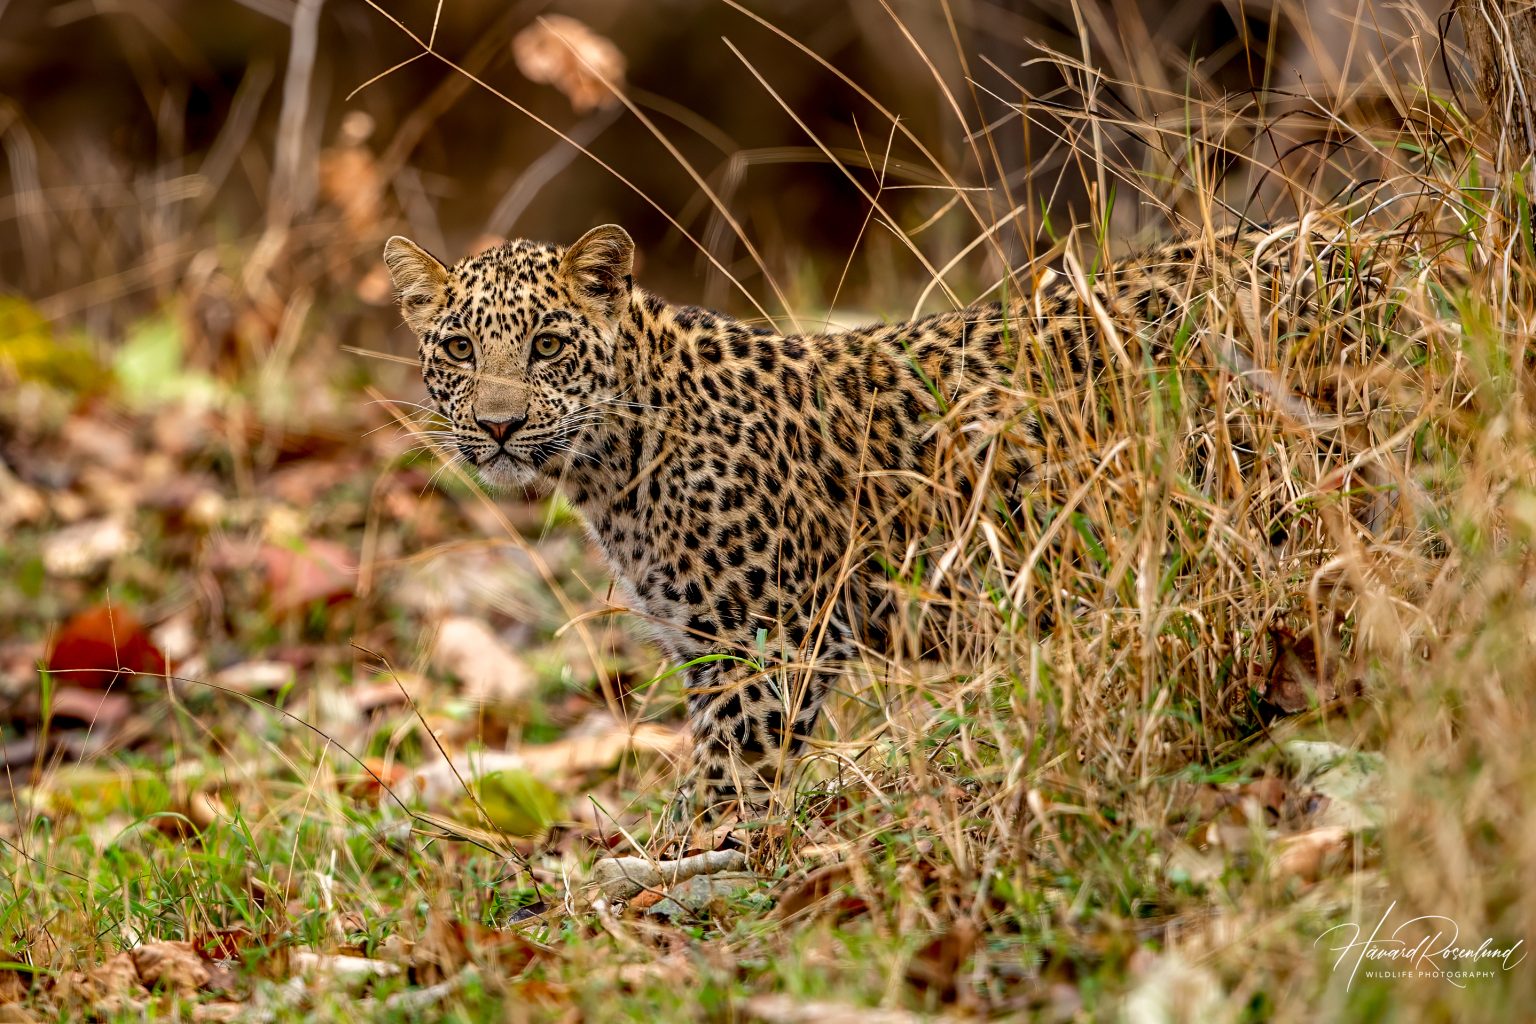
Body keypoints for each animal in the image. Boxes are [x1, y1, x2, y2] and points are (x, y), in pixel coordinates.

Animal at [383, 216, 1424, 822]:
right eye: (461, 348)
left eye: (548, 346)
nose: (499, 425)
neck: (614, 462)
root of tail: (1383, 248)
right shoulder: (709, 649)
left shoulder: (770, 646)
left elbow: (721, 790)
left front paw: (665, 872)